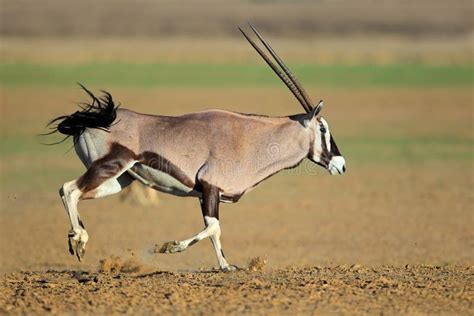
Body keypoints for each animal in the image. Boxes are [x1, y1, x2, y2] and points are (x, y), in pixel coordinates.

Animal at [47, 24, 344, 272]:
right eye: (323, 128)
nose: (341, 164)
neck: (251, 137)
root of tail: (93, 121)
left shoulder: (207, 194)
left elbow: (214, 230)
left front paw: (226, 266)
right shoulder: (211, 188)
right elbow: (213, 227)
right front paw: (169, 247)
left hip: (121, 181)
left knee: (72, 192)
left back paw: (77, 240)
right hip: (109, 166)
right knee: (69, 189)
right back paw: (79, 240)